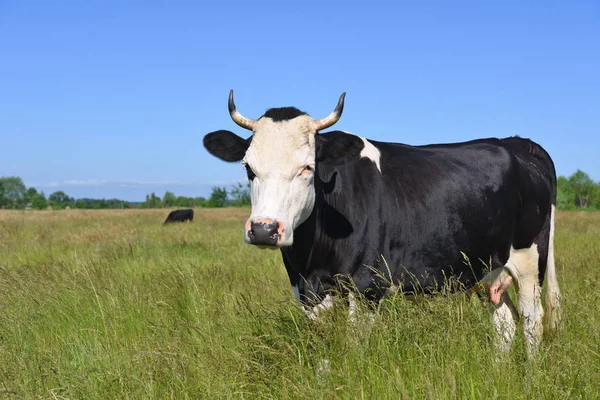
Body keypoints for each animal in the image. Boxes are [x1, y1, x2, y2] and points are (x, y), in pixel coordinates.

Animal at [203, 90, 564, 356]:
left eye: (307, 167)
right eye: (248, 168)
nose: (264, 229)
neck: (313, 259)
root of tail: (516, 143)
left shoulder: (367, 288)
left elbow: (352, 352)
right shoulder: (310, 293)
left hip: (529, 261)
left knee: (533, 323)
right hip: (485, 267)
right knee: (504, 323)